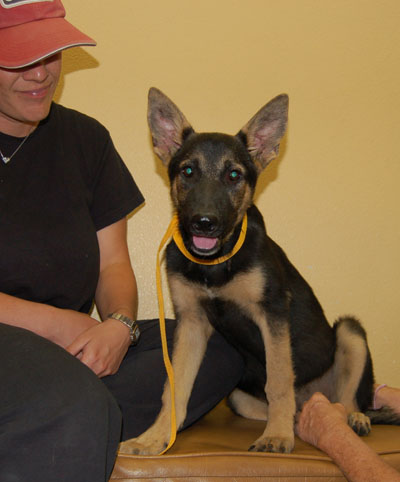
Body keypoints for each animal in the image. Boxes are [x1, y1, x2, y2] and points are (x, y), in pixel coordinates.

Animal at [119, 87, 400, 456]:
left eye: (234, 176)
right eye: (188, 172)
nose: (204, 223)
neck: (216, 264)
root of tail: (314, 398)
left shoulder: (272, 313)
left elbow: (279, 381)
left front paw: (277, 437)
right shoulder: (191, 323)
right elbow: (174, 387)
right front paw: (155, 437)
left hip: (350, 333)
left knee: (347, 399)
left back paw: (353, 418)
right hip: (239, 395)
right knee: (299, 407)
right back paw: (301, 420)